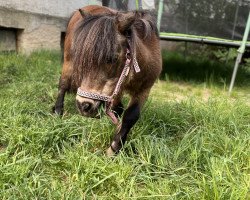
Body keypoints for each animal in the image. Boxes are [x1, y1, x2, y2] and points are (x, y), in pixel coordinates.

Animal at [53, 5, 162, 156]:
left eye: (112, 58)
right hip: (68, 62)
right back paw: (58, 112)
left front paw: (115, 146)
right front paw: (113, 149)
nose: (83, 106)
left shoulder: (143, 89)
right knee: (62, 85)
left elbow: (130, 115)